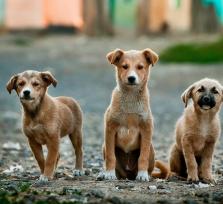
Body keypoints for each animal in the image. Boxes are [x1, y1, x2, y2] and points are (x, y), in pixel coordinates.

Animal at [100, 48, 168, 181]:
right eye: (124, 66)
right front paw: (109, 173)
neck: (130, 98)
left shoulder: (146, 129)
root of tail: (129, 174)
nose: (131, 78)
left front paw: (142, 175)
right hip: (104, 146)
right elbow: (111, 156)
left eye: (140, 67)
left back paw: (146, 174)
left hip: (151, 149)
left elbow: (143, 157)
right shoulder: (110, 129)